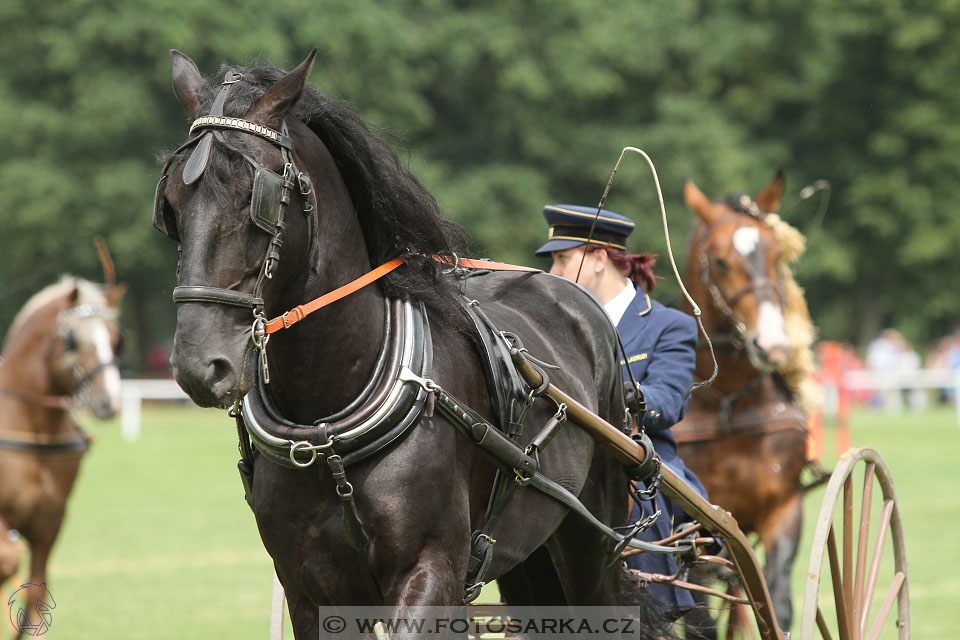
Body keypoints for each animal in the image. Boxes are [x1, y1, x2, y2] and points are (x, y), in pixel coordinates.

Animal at [0, 278, 124, 636]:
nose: (109, 402)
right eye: (72, 340)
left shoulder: (49, 522)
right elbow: (8, 560)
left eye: (116, 339)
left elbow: (35, 597)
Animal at [676, 172, 816, 632]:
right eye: (720, 261)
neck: (728, 408)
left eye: (776, 254)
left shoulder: (784, 510)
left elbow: (776, 600)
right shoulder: (697, 527)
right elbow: (699, 616)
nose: (772, 345)